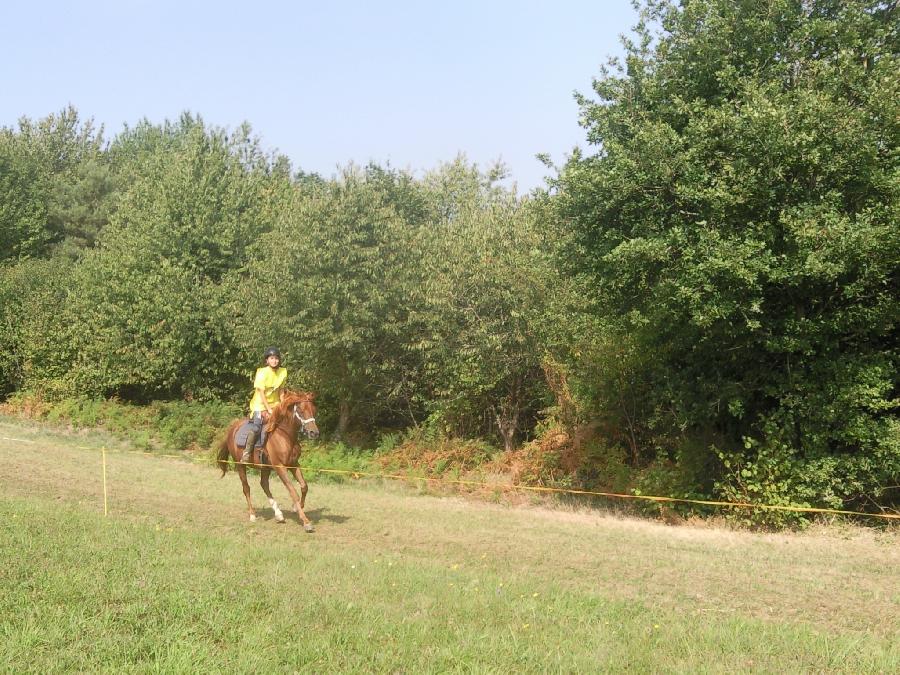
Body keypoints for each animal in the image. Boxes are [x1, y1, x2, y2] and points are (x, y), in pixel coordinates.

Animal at [218, 390, 320, 532]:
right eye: (300, 410)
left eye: (313, 410)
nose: (314, 433)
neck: (285, 435)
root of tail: (232, 429)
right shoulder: (280, 467)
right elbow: (293, 491)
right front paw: (306, 522)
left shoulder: (294, 464)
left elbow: (304, 486)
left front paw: (296, 507)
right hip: (240, 465)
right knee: (246, 488)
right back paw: (252, 515)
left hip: (265, 467)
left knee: (264, 484)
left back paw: (279, 514)